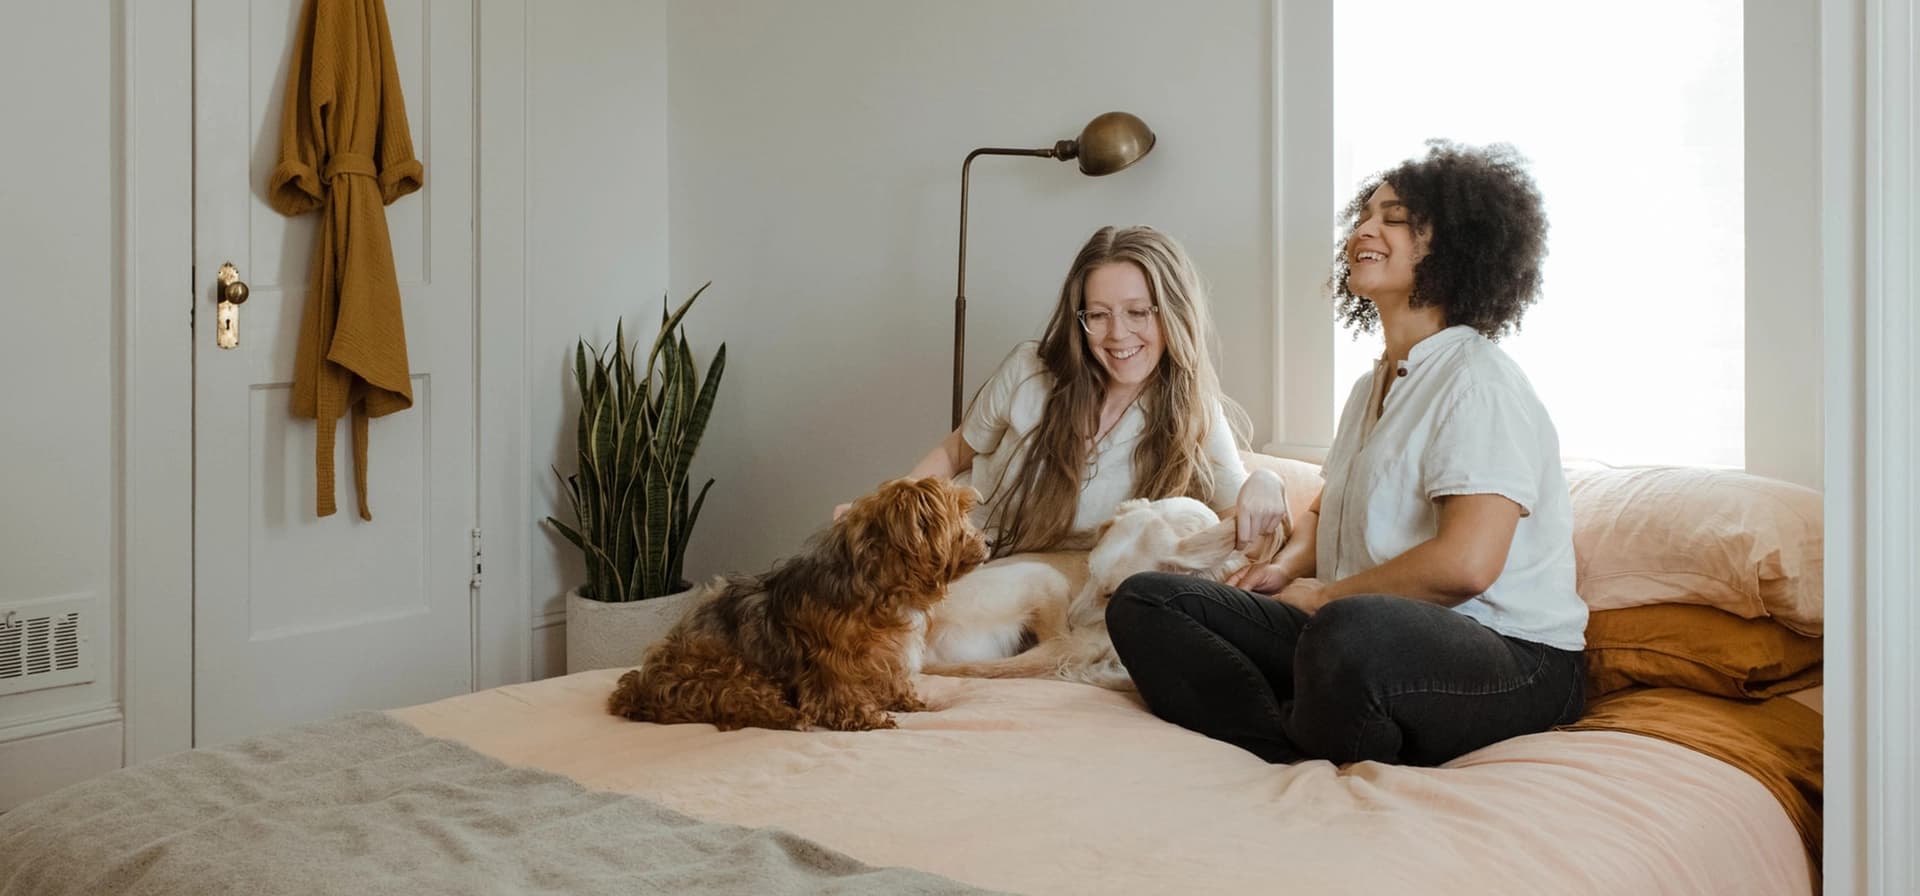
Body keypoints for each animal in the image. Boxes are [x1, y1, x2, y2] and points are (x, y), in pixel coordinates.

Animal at [602, 479, 990, 732]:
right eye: (957, 515)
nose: (988, 541)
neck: (880, 587)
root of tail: (640, 688)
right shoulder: (831, 659)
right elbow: (839, 689)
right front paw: (864, 716)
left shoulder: (886, 653)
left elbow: (892, 679)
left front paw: (907, 701)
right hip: (725, 672)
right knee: (739, 704)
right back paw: (789, 716)